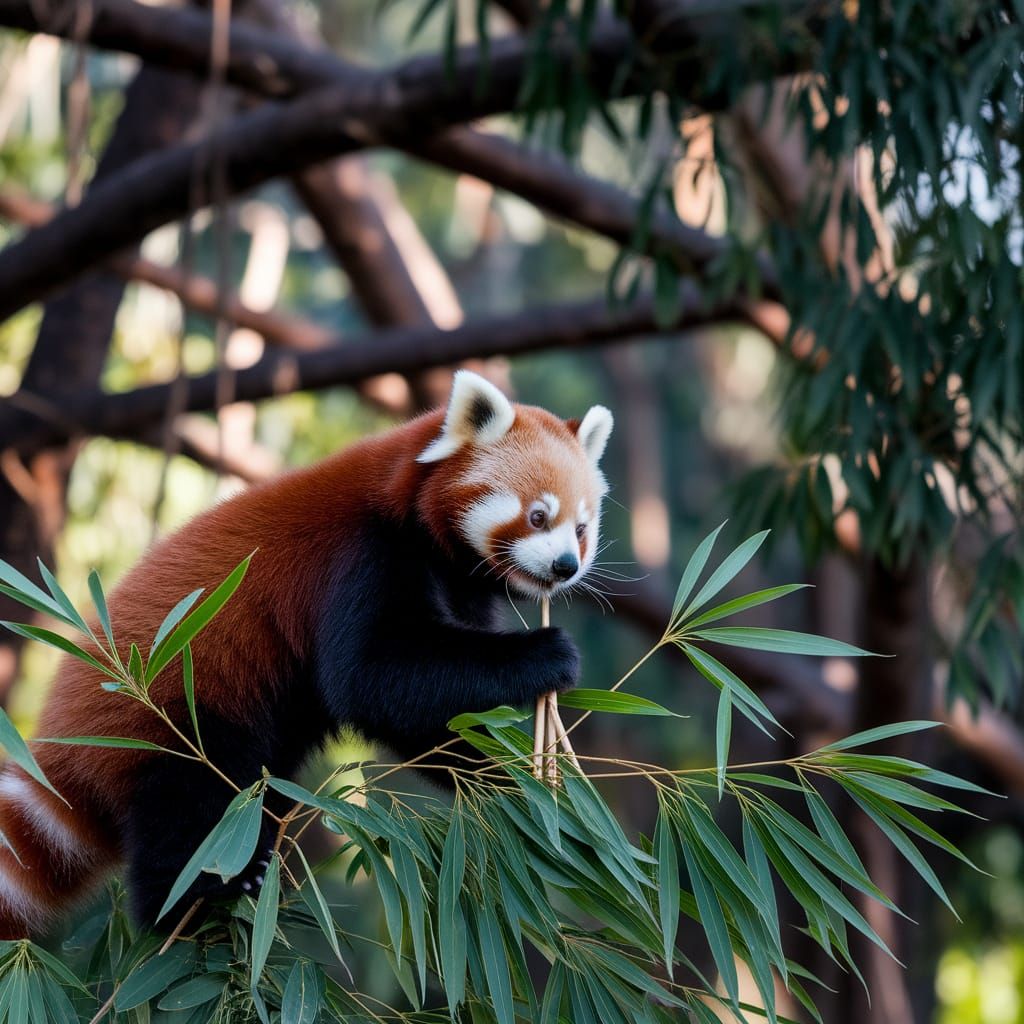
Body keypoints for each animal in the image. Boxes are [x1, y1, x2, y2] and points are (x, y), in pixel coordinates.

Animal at [0, 371, 613, 935]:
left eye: (582, 528)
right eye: (537, 515)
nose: (565, 566)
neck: (420, 529)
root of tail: (58, 743)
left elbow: (429, 716)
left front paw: (507, 782)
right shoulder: (360, 560)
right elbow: (372, 678)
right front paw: (546, 652)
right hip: (169, 716)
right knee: (188, 805)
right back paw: (203, 895)